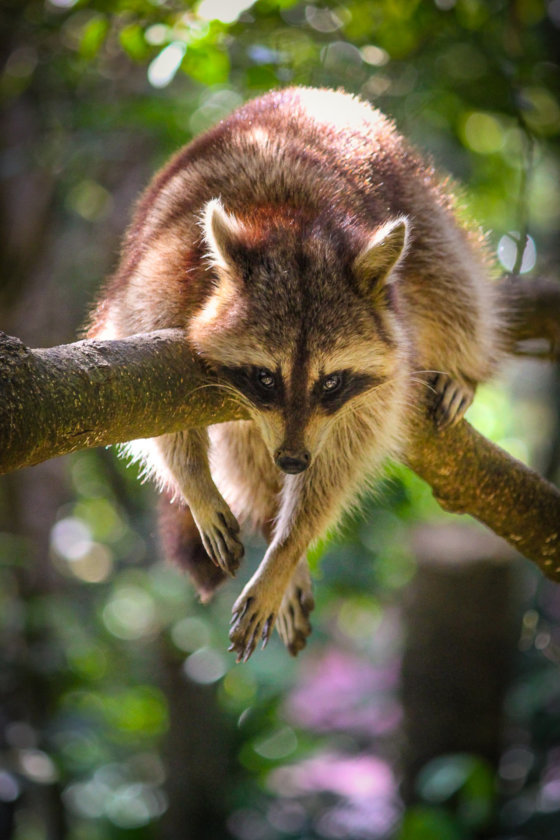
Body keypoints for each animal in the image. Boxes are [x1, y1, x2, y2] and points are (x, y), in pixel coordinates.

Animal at [88, 85, 504, 664]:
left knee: (450, 276)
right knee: (245, 451)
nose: (291, 460)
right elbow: (146, 407)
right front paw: (196, 481)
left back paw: (463, 364)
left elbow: (346, 454)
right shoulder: (158, 279)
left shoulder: (379, 371)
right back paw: (267, 510)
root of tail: (312, 92)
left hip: (417, 194)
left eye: (331, 382)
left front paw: (288, 547)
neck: (290, 226)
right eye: (266, 378)